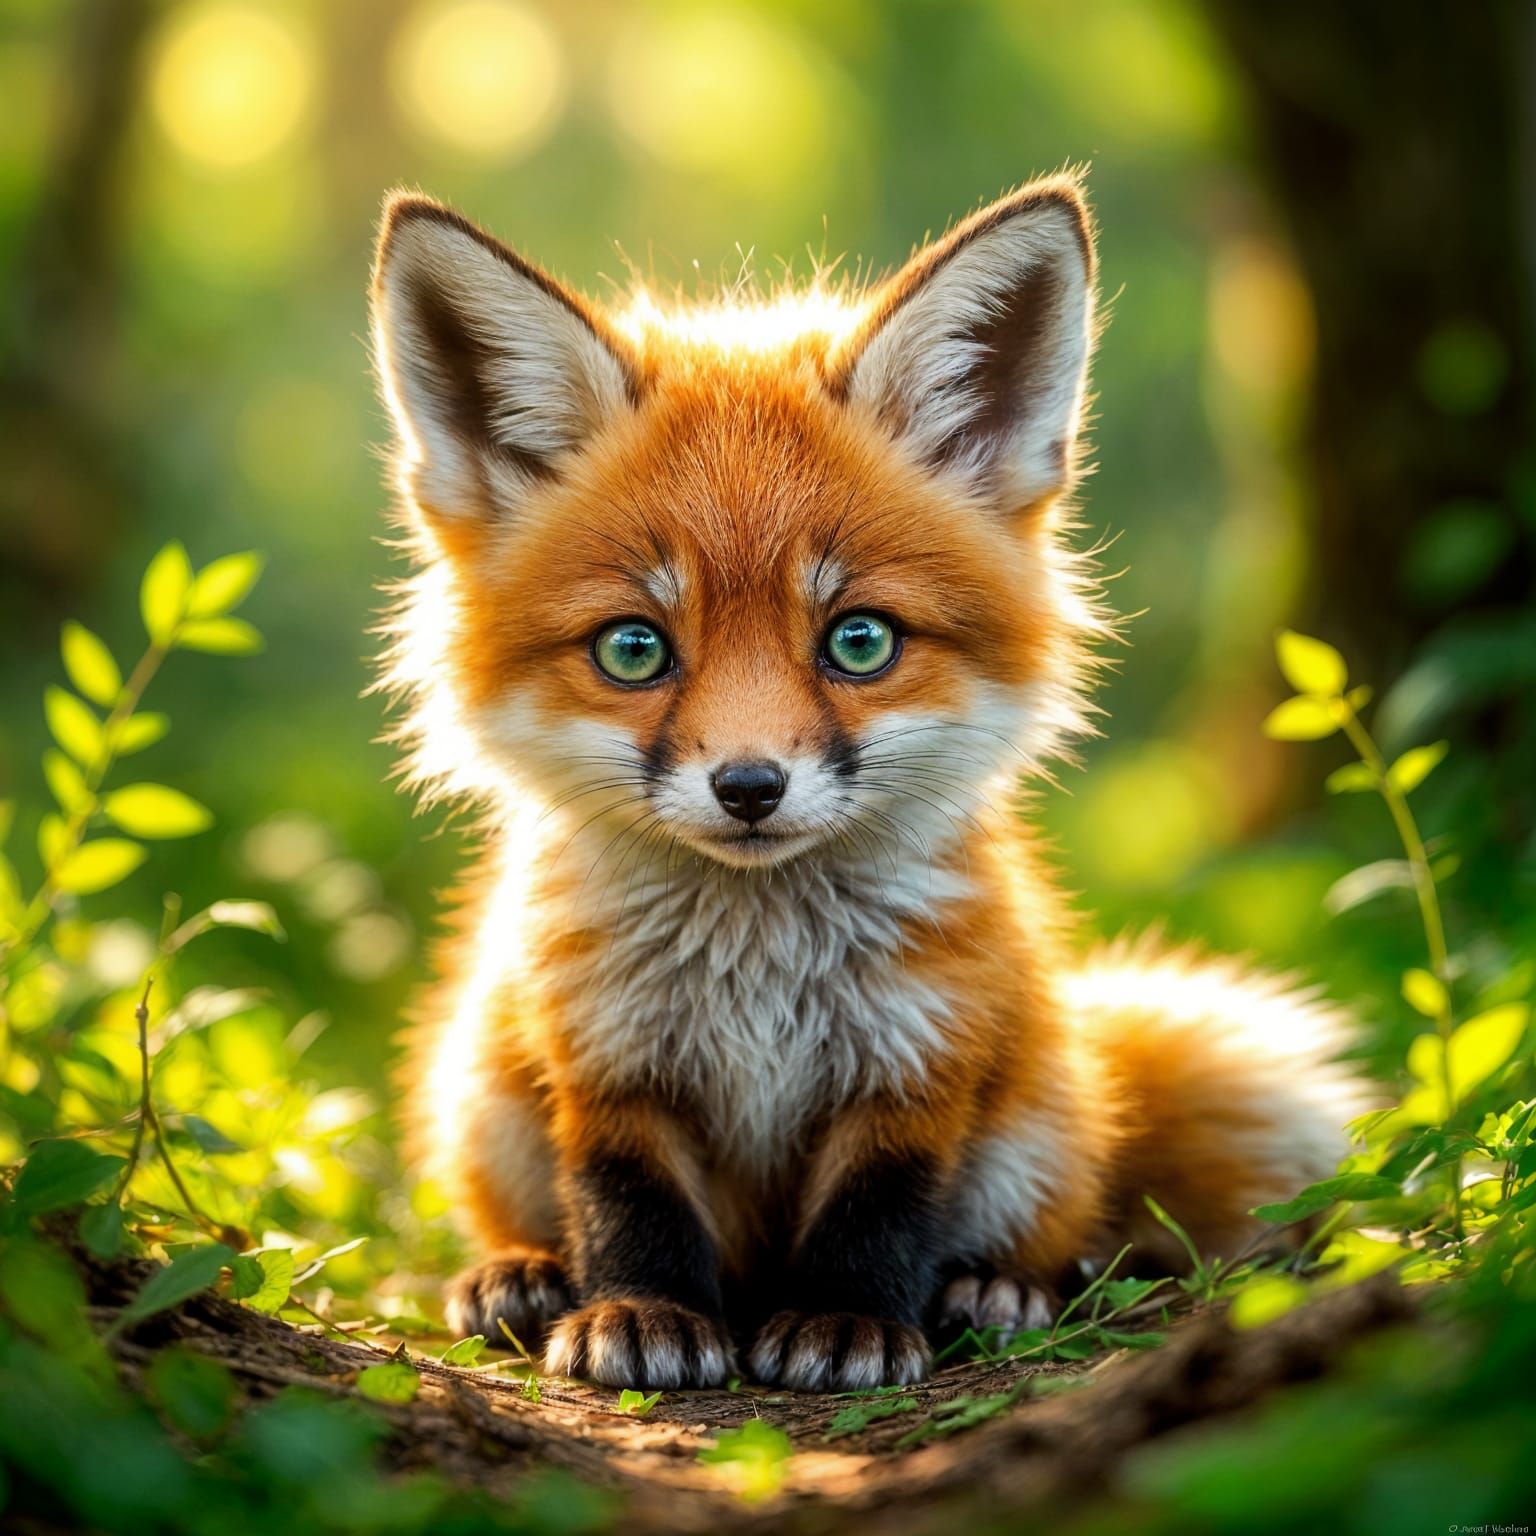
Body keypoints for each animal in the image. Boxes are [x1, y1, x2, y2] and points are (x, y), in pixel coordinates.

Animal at [367, 174, 1371, 1393]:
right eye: (634, 651)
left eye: (859, 641)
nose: (750, 786)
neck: (755, 969)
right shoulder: (603, 1055)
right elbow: (626, 1203)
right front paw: (642, 1310)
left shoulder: (919, 1053)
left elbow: (878, 1212)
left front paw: (848, 1323)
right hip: (485, 1094)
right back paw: (519, 1275)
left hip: (1038, 1122)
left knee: (1062, 1234)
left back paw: (994, 1290)